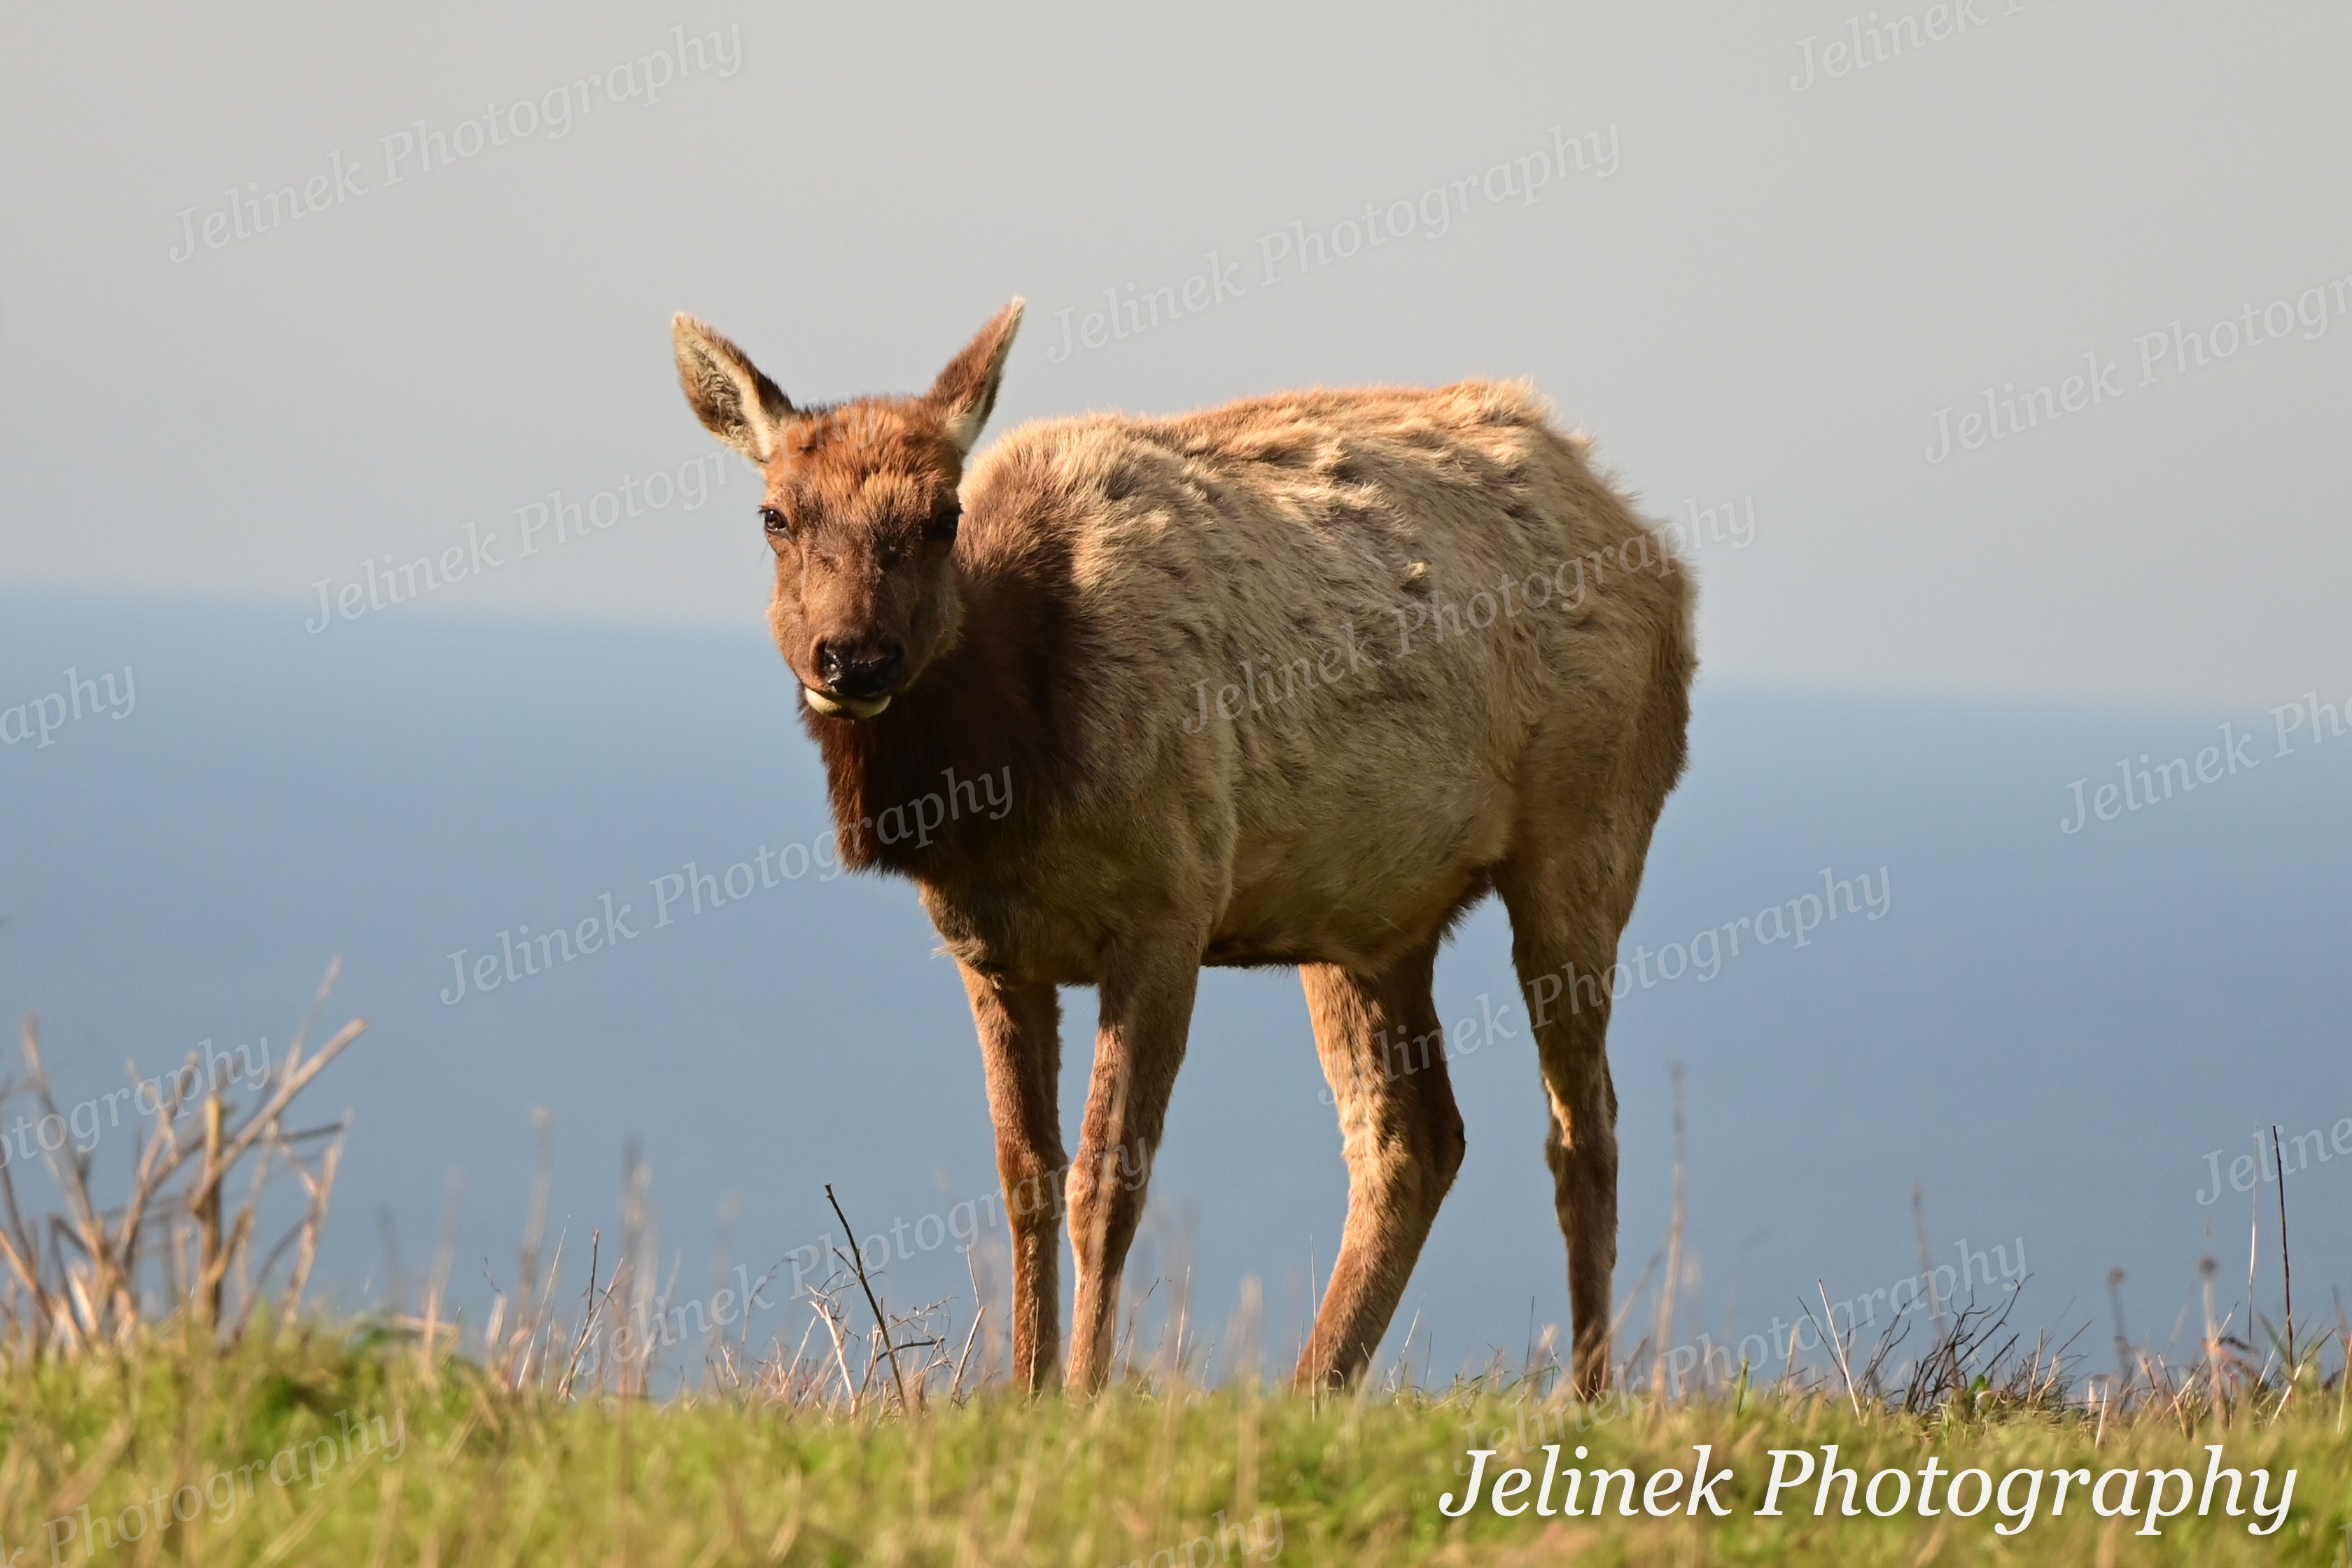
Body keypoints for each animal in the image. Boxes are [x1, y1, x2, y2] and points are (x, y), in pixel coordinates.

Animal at [669, 299, 1694, 1396]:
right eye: (776, 515)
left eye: (942, 516)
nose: (853, 658)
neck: (1012, 774)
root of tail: (1662, 556)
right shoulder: (989, 950)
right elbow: (1024, 1177)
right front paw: (1024, 1389)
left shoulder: (1170, 905)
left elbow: (1107, 1183)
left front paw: (1083, 1394)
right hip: (1367, 914)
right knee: (1415, 1138)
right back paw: (1314, 1388)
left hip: (1588, 830)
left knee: (1584, 1127)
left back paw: (1583, 1397)